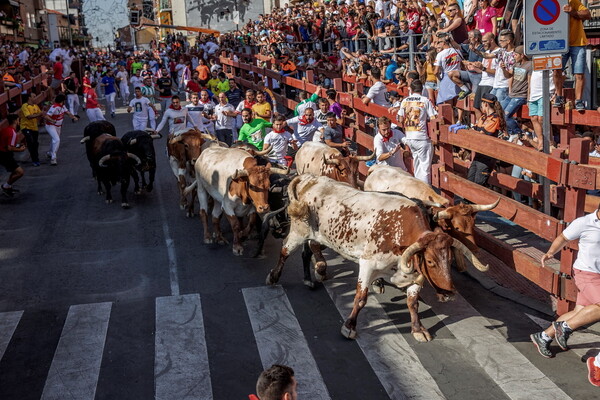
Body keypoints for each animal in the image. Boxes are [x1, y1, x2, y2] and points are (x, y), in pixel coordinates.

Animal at [268, 174, 488, 340]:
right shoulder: (368, 264)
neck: (399, 231)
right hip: (299, 231)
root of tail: (309, 178)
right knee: (285, 252)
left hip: (314, 235)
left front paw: (418, 329)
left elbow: (413, 303)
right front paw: (350, 326)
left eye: (449, 259)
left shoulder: (415, 275)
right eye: (431, 261)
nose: (449, 293)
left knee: (308, 249)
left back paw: (312, 275)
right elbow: (360, 298)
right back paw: (274, 276)